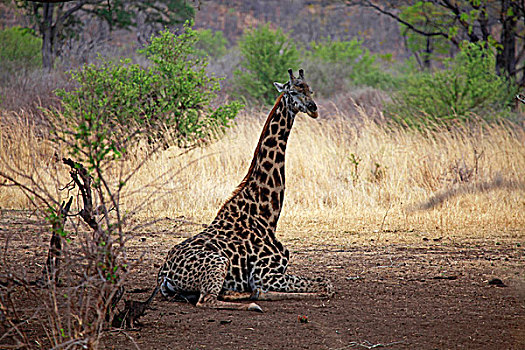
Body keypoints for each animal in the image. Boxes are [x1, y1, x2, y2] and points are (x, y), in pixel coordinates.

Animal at [155, 68, 332, 312]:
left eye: (309, 90)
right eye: (293, 91)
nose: (313, 108)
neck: (267, 215)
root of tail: (165, 272)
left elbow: (324, 282)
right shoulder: (267, 274)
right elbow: (326, 285)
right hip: (218, 262)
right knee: (207, 300)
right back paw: (252, 304)